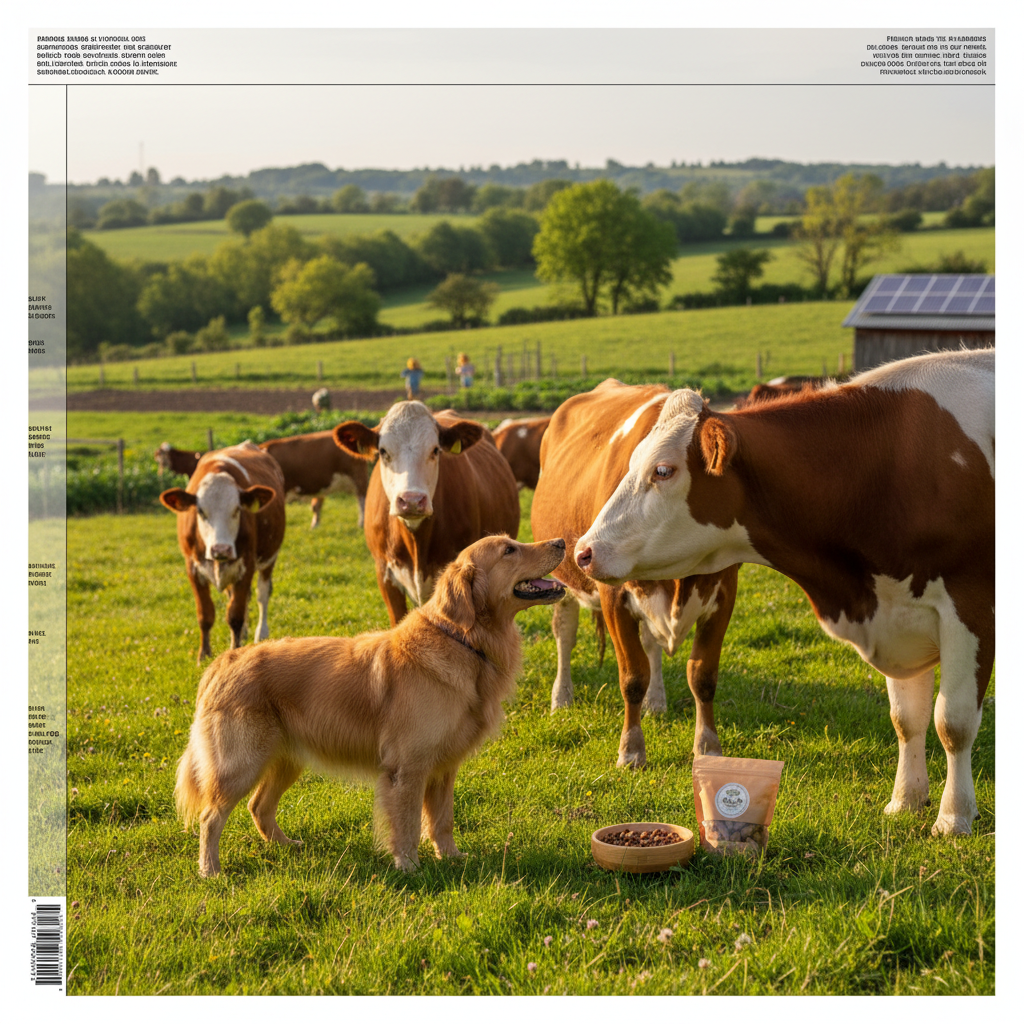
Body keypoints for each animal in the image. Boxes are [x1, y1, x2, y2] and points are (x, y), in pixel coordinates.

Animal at [160, 441, 287, 664]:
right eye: (201, 511)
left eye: (237, 509)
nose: (221, 549)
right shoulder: (192, 568)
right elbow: (206, 615)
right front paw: (203, 655)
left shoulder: (246, 567)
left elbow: (234, 615)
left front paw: (235, 650)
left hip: (269, 559)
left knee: (262, 595)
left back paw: (260, 633)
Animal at [531, 381, 738, 768]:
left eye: (663, 470)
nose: (585, 550)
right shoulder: (613, 598)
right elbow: (632, 677)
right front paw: (630, 751)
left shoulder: (723, 595)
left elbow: (702, 676)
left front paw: (708, 746)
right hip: (563, 580)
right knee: (564, 635)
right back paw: (562, 697)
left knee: (651, 643)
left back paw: (656, 701)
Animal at [575, 348, 995, 836]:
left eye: (663, 470)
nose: (584, 550)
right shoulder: (897, 610)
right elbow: (907, 719)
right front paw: (905, 802)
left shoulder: (970, 608)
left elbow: (953, 722)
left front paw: (954, 817)